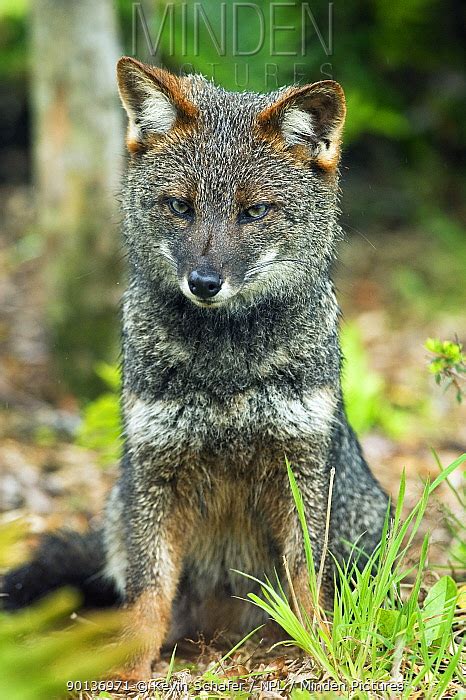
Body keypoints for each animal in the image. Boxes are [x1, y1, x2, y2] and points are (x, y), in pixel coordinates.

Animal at [2, 56, 390, 680]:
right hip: (123, 509)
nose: (204, 283)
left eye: (254, 212)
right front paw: (130, 667)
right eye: (181, 207)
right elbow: (149, 593)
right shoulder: (155, 471)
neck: (225, 369)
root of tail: (225, 628)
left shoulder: (302, 469)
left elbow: (307, 584)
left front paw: (322, 651)